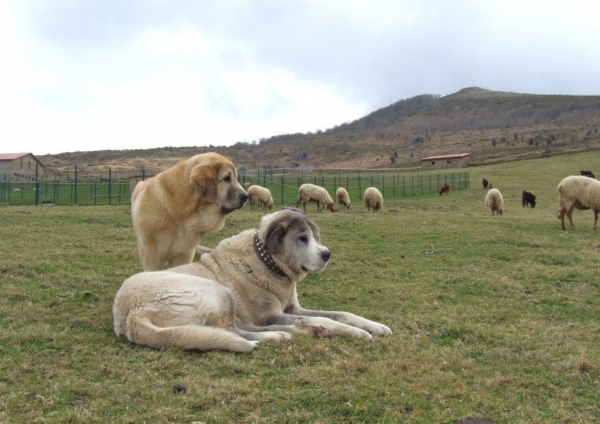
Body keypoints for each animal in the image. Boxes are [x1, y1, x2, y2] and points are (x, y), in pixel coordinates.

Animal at [113, 208, 394, 352]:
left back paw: (301, 330)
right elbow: (328, 319)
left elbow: (340, 313)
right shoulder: (269, 315)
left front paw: (375, 326)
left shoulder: (293, 308)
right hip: (219, 292)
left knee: (239, 328)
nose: (327, 254)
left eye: (317, 237)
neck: (268, 263)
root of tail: (129, 315)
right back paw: (287, 333)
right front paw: (357, 333)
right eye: (302, 238)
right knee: (233, 331)